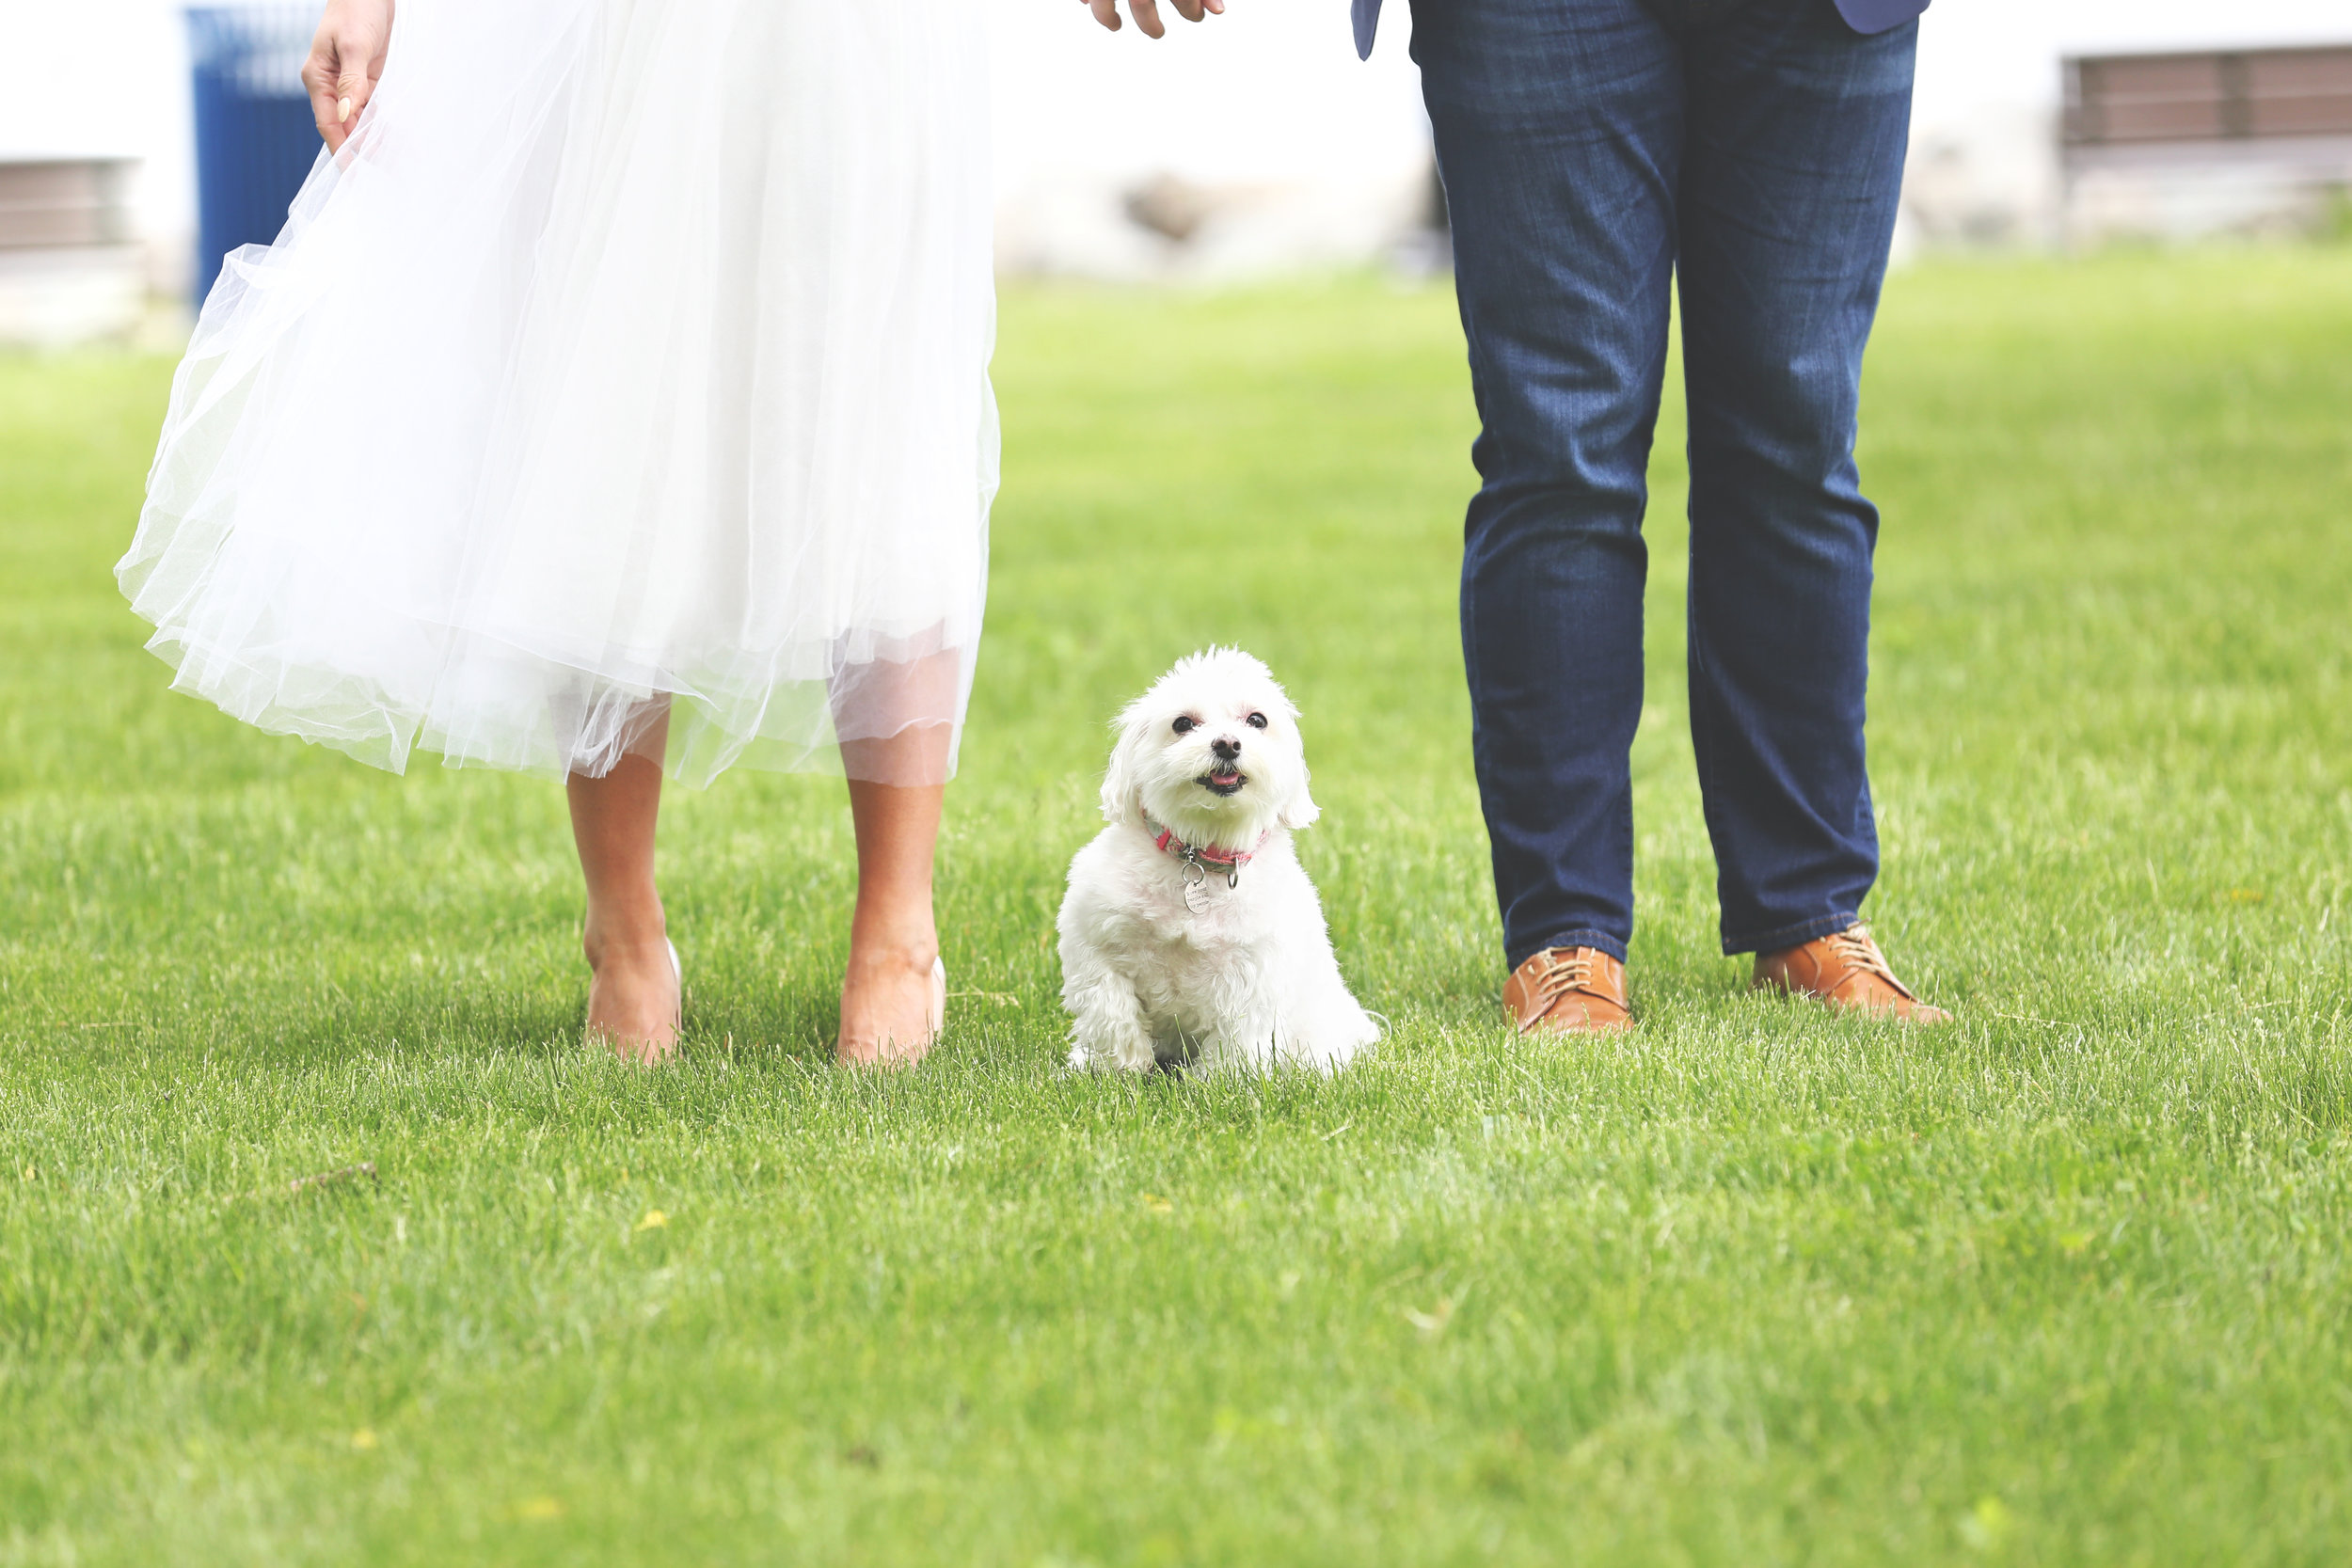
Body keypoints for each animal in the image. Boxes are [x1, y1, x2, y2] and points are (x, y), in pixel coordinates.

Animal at [1063, 643, 1383, 1071]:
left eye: (1257, 720)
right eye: (1182, 723)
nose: (1227, 743)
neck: (1201, 856)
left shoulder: (1254, 976)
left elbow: (1237, 1041)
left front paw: (1220, 1080)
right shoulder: (1092, 941)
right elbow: (1110, 1010)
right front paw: (1115, 1068)